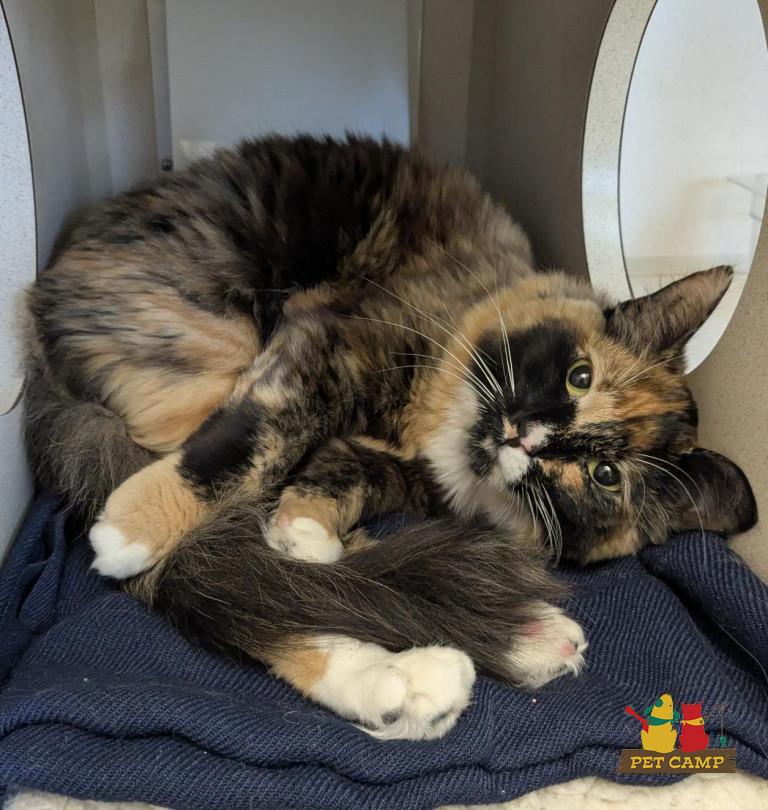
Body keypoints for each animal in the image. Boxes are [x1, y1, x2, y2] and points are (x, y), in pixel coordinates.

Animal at [24, 134, 756, 741]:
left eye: (605, 476)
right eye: (580, 377)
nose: (530, 438)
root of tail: (40, 314)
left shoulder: (394, 463)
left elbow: (345, 480)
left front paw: (304, 526)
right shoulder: (326, 338)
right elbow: (262, 436)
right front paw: (137, 527)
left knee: (274, 575)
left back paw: (468, 652)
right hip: (213, 343)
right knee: (223, 564)